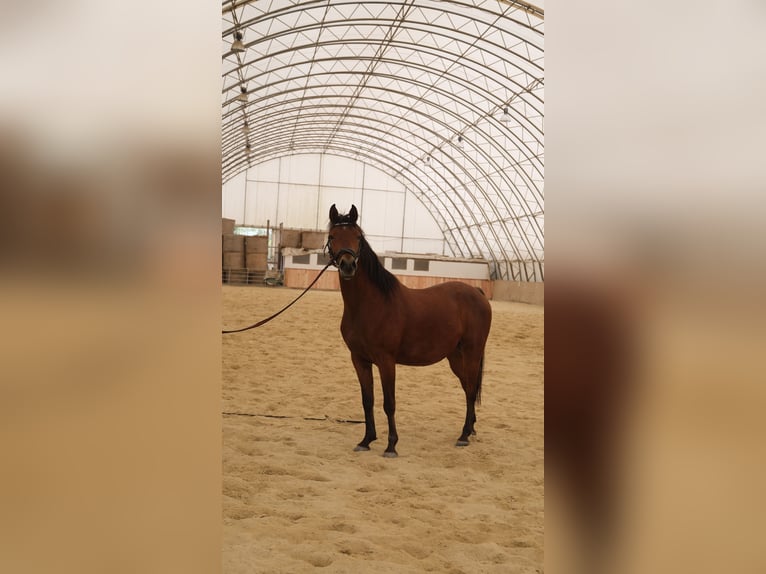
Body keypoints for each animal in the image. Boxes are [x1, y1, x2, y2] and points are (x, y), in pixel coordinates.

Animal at [326, 204, 492, 457]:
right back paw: (471, 430)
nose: (347, 265)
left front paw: (391, 445)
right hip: (455, 356)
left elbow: (389, 403)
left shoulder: (386, 361)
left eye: (358, 237)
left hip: (472, 352)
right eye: (333, 236)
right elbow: (367, 400)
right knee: (467, 388)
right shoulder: (359, 360)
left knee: (471, 389)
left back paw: (463, 435)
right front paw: (366, 440)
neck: (370, 304)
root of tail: (477, 292)